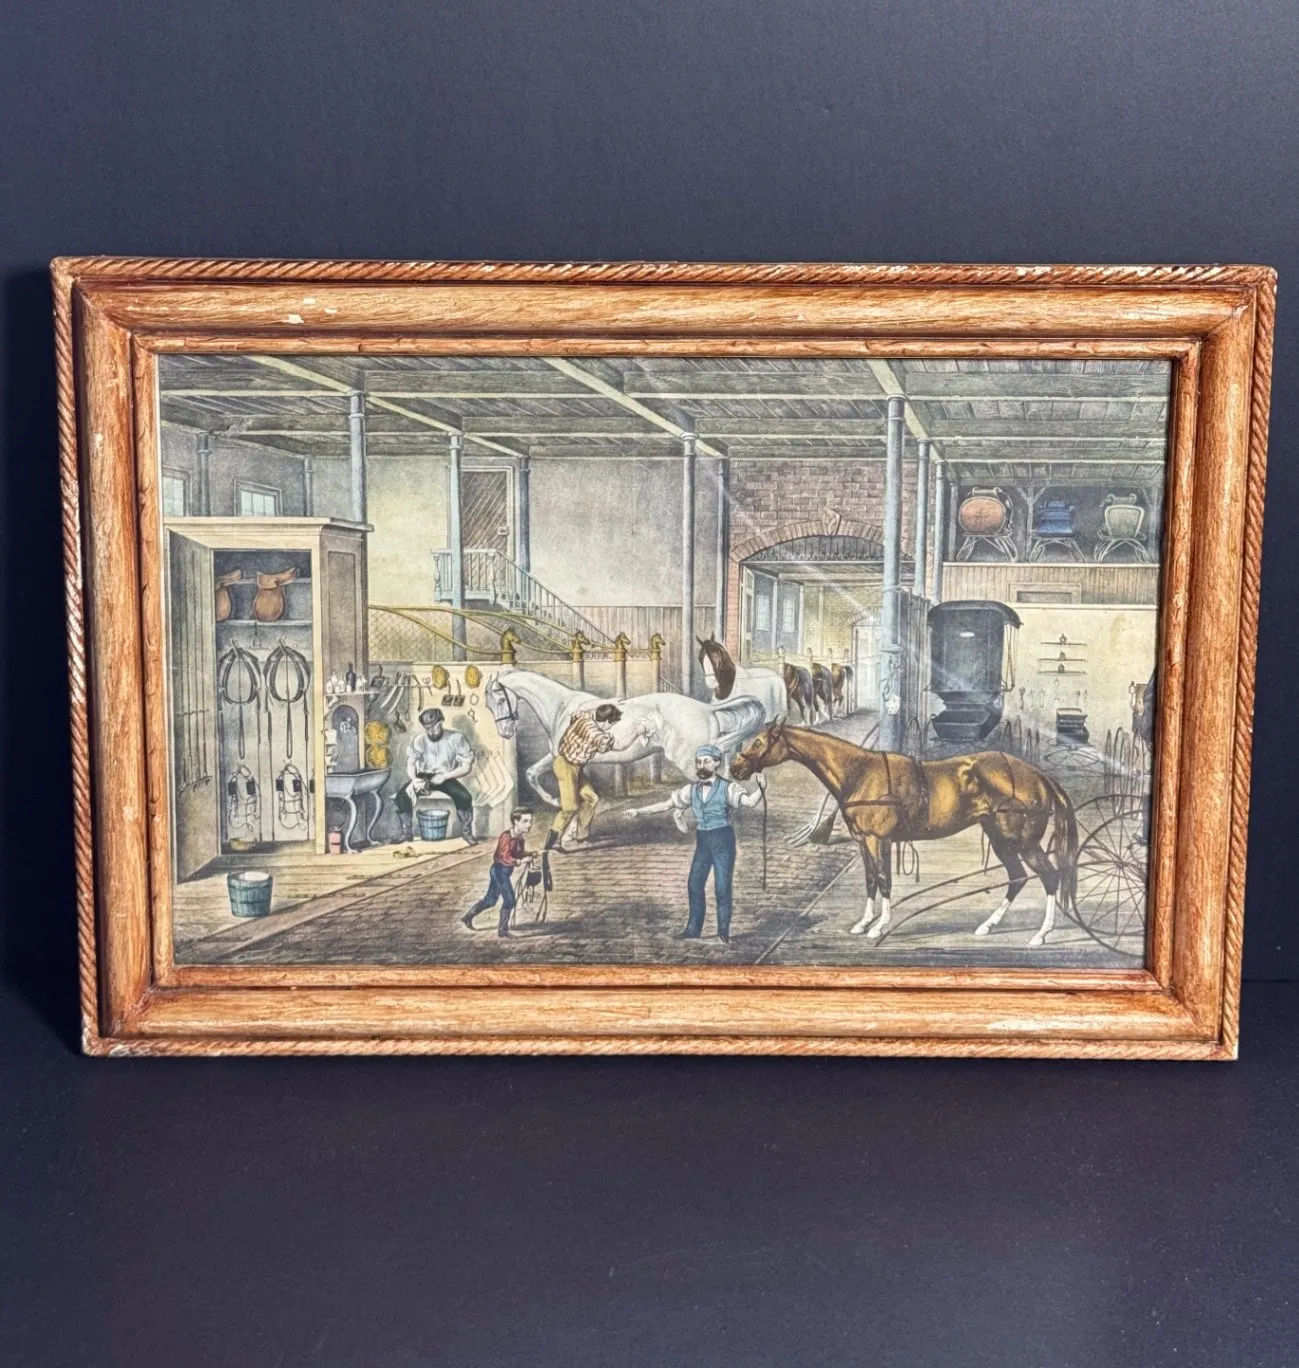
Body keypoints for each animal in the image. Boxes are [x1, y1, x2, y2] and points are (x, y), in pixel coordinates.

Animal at [484, 669, 766, 807]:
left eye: (500, 700)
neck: (562, 707)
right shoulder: (563, 756)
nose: (505, 732)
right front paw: (554, 802)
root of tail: (706, 709)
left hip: (691, 763)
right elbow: (532, 773)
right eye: (489, 704)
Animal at [732, 722, 1078, 948]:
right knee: (1018, 877)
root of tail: (1039, 776)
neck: (859, 772)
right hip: (1000, 838)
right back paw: (988, 926)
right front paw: (863, 923)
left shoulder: (878, 839)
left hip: (1023, 841)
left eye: (759, 742)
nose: (735, 768)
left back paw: (1041, 934)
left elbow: (884, 880)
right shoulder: (864, 841)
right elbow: (871, 881)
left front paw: (879, 926)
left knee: (1049, 876)